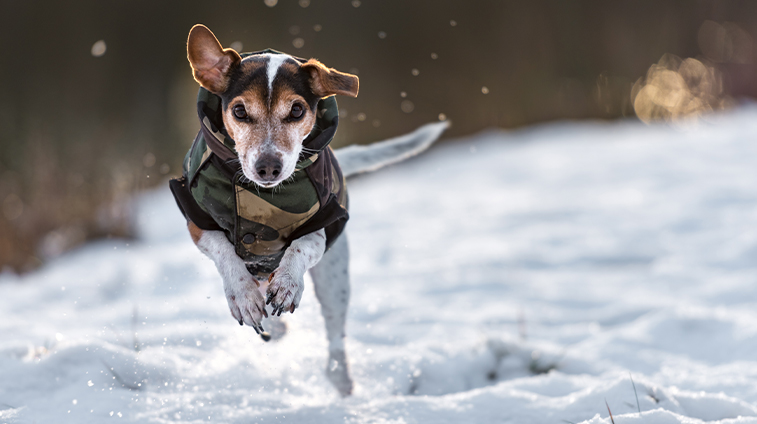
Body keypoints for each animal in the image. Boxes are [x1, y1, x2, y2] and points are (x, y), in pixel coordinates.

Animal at [168, 24, 446, 396]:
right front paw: (243, 295)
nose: (268, 167)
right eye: (239, 112)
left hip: (334, 278)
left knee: (334, 335)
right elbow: (225, 252)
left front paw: (287, 283)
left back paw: (340, 379)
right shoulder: (197, 221)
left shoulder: (326, 221)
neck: (260, 195)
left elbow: (301, 245)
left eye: (297, 110)